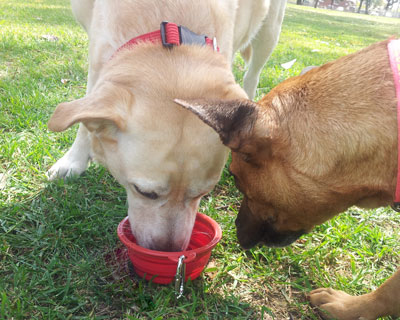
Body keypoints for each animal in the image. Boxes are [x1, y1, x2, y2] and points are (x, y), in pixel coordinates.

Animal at [47, 1, 286, 251]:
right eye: (144, 192)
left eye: (203, 193)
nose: (168, 251)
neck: (169, 30)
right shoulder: (97, 53)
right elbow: (87, 115)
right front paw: (73, 160)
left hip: (270, 31)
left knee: (253, 74)